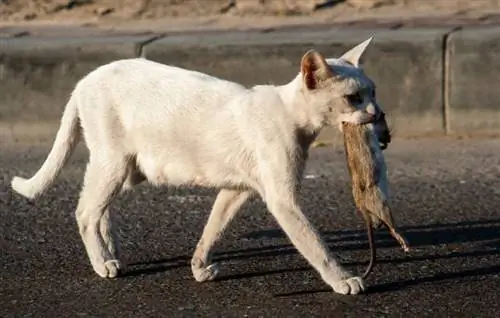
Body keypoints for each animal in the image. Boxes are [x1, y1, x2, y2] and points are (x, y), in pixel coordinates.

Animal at [10, 38, 390, 296]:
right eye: (353, 98)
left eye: (374, 92)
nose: (377, 114)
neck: (293, 115)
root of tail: (84, 79)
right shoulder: (282, 200)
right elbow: (316, 246)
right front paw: (344, 280)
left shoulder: (237, 190)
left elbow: (213, 228)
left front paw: (199, 267)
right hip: (114, 162)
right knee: (85, 211)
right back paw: (102, 261)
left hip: (127, 169)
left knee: (98, 206)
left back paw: (109, 249)